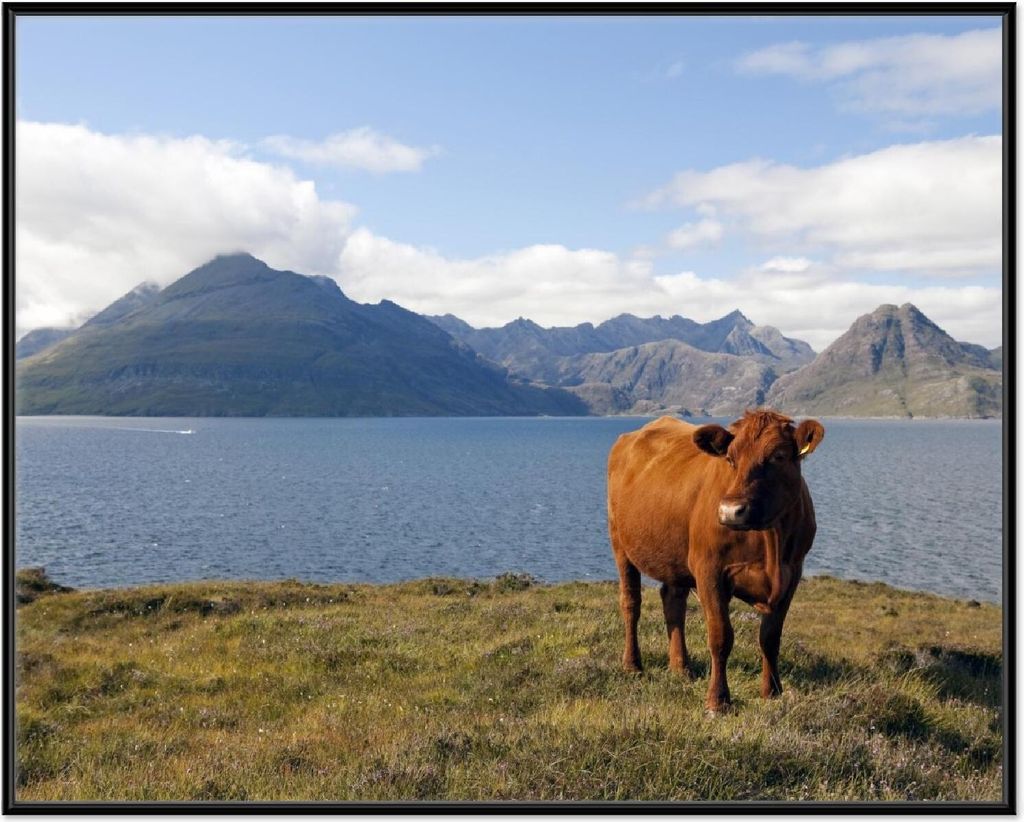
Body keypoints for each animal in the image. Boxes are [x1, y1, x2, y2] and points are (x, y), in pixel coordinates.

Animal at [606, 409, 824, 713]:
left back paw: (681, 668)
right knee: (631, 603)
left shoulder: (792, 573)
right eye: (730, 459)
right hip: (621, 544)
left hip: (676, 558)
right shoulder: (709, 569)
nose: (731, 511)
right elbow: (721, 636)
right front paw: (718, 700)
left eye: (779, 456)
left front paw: (772, 692)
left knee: (673, 602)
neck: (770, 541)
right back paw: (633, 665)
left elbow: (770, 637)